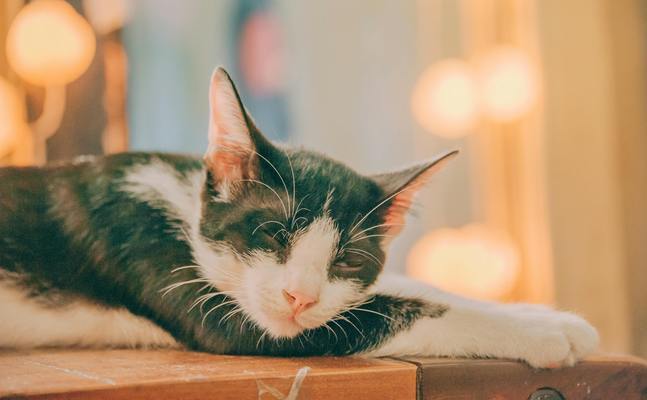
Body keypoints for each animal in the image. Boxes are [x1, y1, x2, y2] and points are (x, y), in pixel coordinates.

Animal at [0, 66, 600, 368]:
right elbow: (378, 314)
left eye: (348, 259)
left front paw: (538, 311)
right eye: (271, 233)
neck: (180, 207)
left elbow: (391, 290)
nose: (300, 297)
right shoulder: (153, 252)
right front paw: (543, 333)